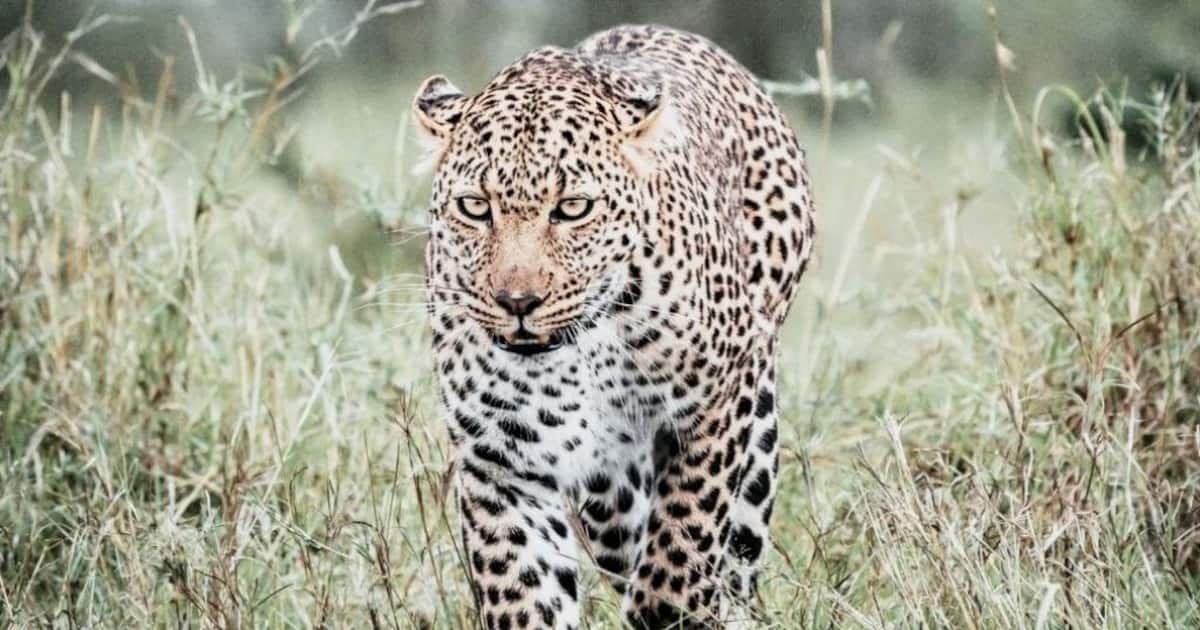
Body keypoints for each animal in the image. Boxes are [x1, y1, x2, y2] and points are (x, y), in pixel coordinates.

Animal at [411, 24, 815, 629]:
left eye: (573, 208)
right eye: (475, 207)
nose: (517, 301)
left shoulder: (715, 408)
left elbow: (682, 549)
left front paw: (675, 604)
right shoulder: (499, 459)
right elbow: (526, 594)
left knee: (737, 553)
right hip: (611, 490)